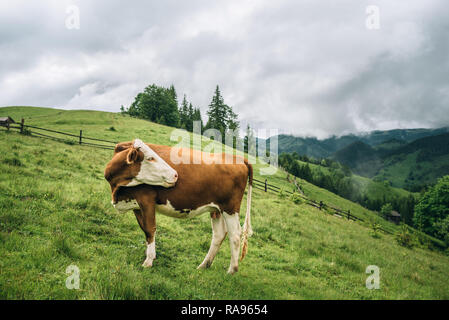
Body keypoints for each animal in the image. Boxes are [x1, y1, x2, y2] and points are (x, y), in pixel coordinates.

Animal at [103, 139, 254, 274]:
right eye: (151, 158)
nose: (175, 174)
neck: (117, 189)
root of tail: (238, 157)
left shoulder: (146, 200)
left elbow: (150, 229)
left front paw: (149, 260)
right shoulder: (136, 205)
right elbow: (145, 230)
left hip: (230, 208)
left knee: (235, 235)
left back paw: (232, 270)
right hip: (217, 209)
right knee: (219, 234)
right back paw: (204, 265)